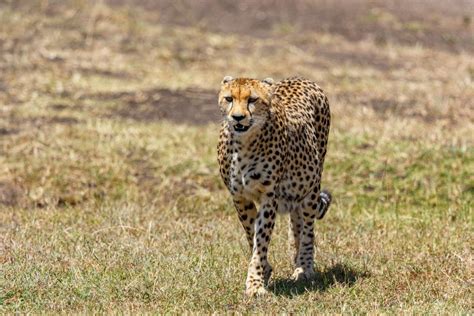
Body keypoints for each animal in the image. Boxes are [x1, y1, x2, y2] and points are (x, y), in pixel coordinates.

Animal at [217, 76, 332, 296]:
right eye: (229, 98)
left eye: (252, 99)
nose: (237, 118)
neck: (244, 143)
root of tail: (302, 78)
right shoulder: (239, 197)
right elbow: (251, 233)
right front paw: (264, 271)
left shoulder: (269, 196)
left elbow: (261, 239)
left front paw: (255, 283)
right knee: (296, 223)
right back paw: (295, 257)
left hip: (311, 188)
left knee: (308, 229)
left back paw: (304, 267)